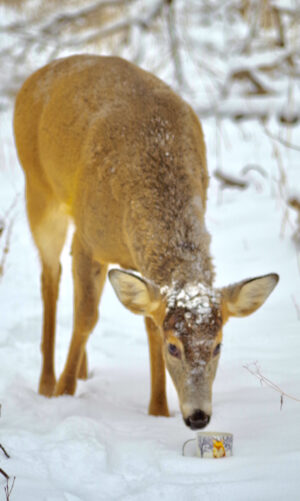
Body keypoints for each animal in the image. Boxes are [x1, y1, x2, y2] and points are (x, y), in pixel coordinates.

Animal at [12, 55, 278, 430]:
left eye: (217, 346)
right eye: (174, 347)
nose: (198, 417)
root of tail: (38, 75)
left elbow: (148, 324)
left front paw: (158, 411)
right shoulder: (89, 239)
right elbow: (86, 317)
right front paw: (64, 394)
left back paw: (82, 372)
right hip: (38, 191)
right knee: (51, 277)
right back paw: (48, 382)